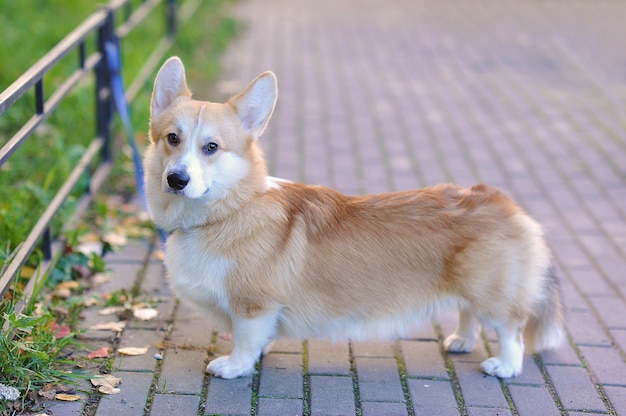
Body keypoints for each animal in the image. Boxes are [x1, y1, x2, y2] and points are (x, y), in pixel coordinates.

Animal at [144, 57, 564, 378]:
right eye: (172, 138)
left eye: (211, 147)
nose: (176, 179)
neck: (230, 209)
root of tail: (501, 200)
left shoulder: (253, 306)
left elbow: (246, 340)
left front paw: (235, 367)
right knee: (468, 312)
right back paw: (461, 340)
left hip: (491, 291)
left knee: (511, 328)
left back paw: (505, 366)